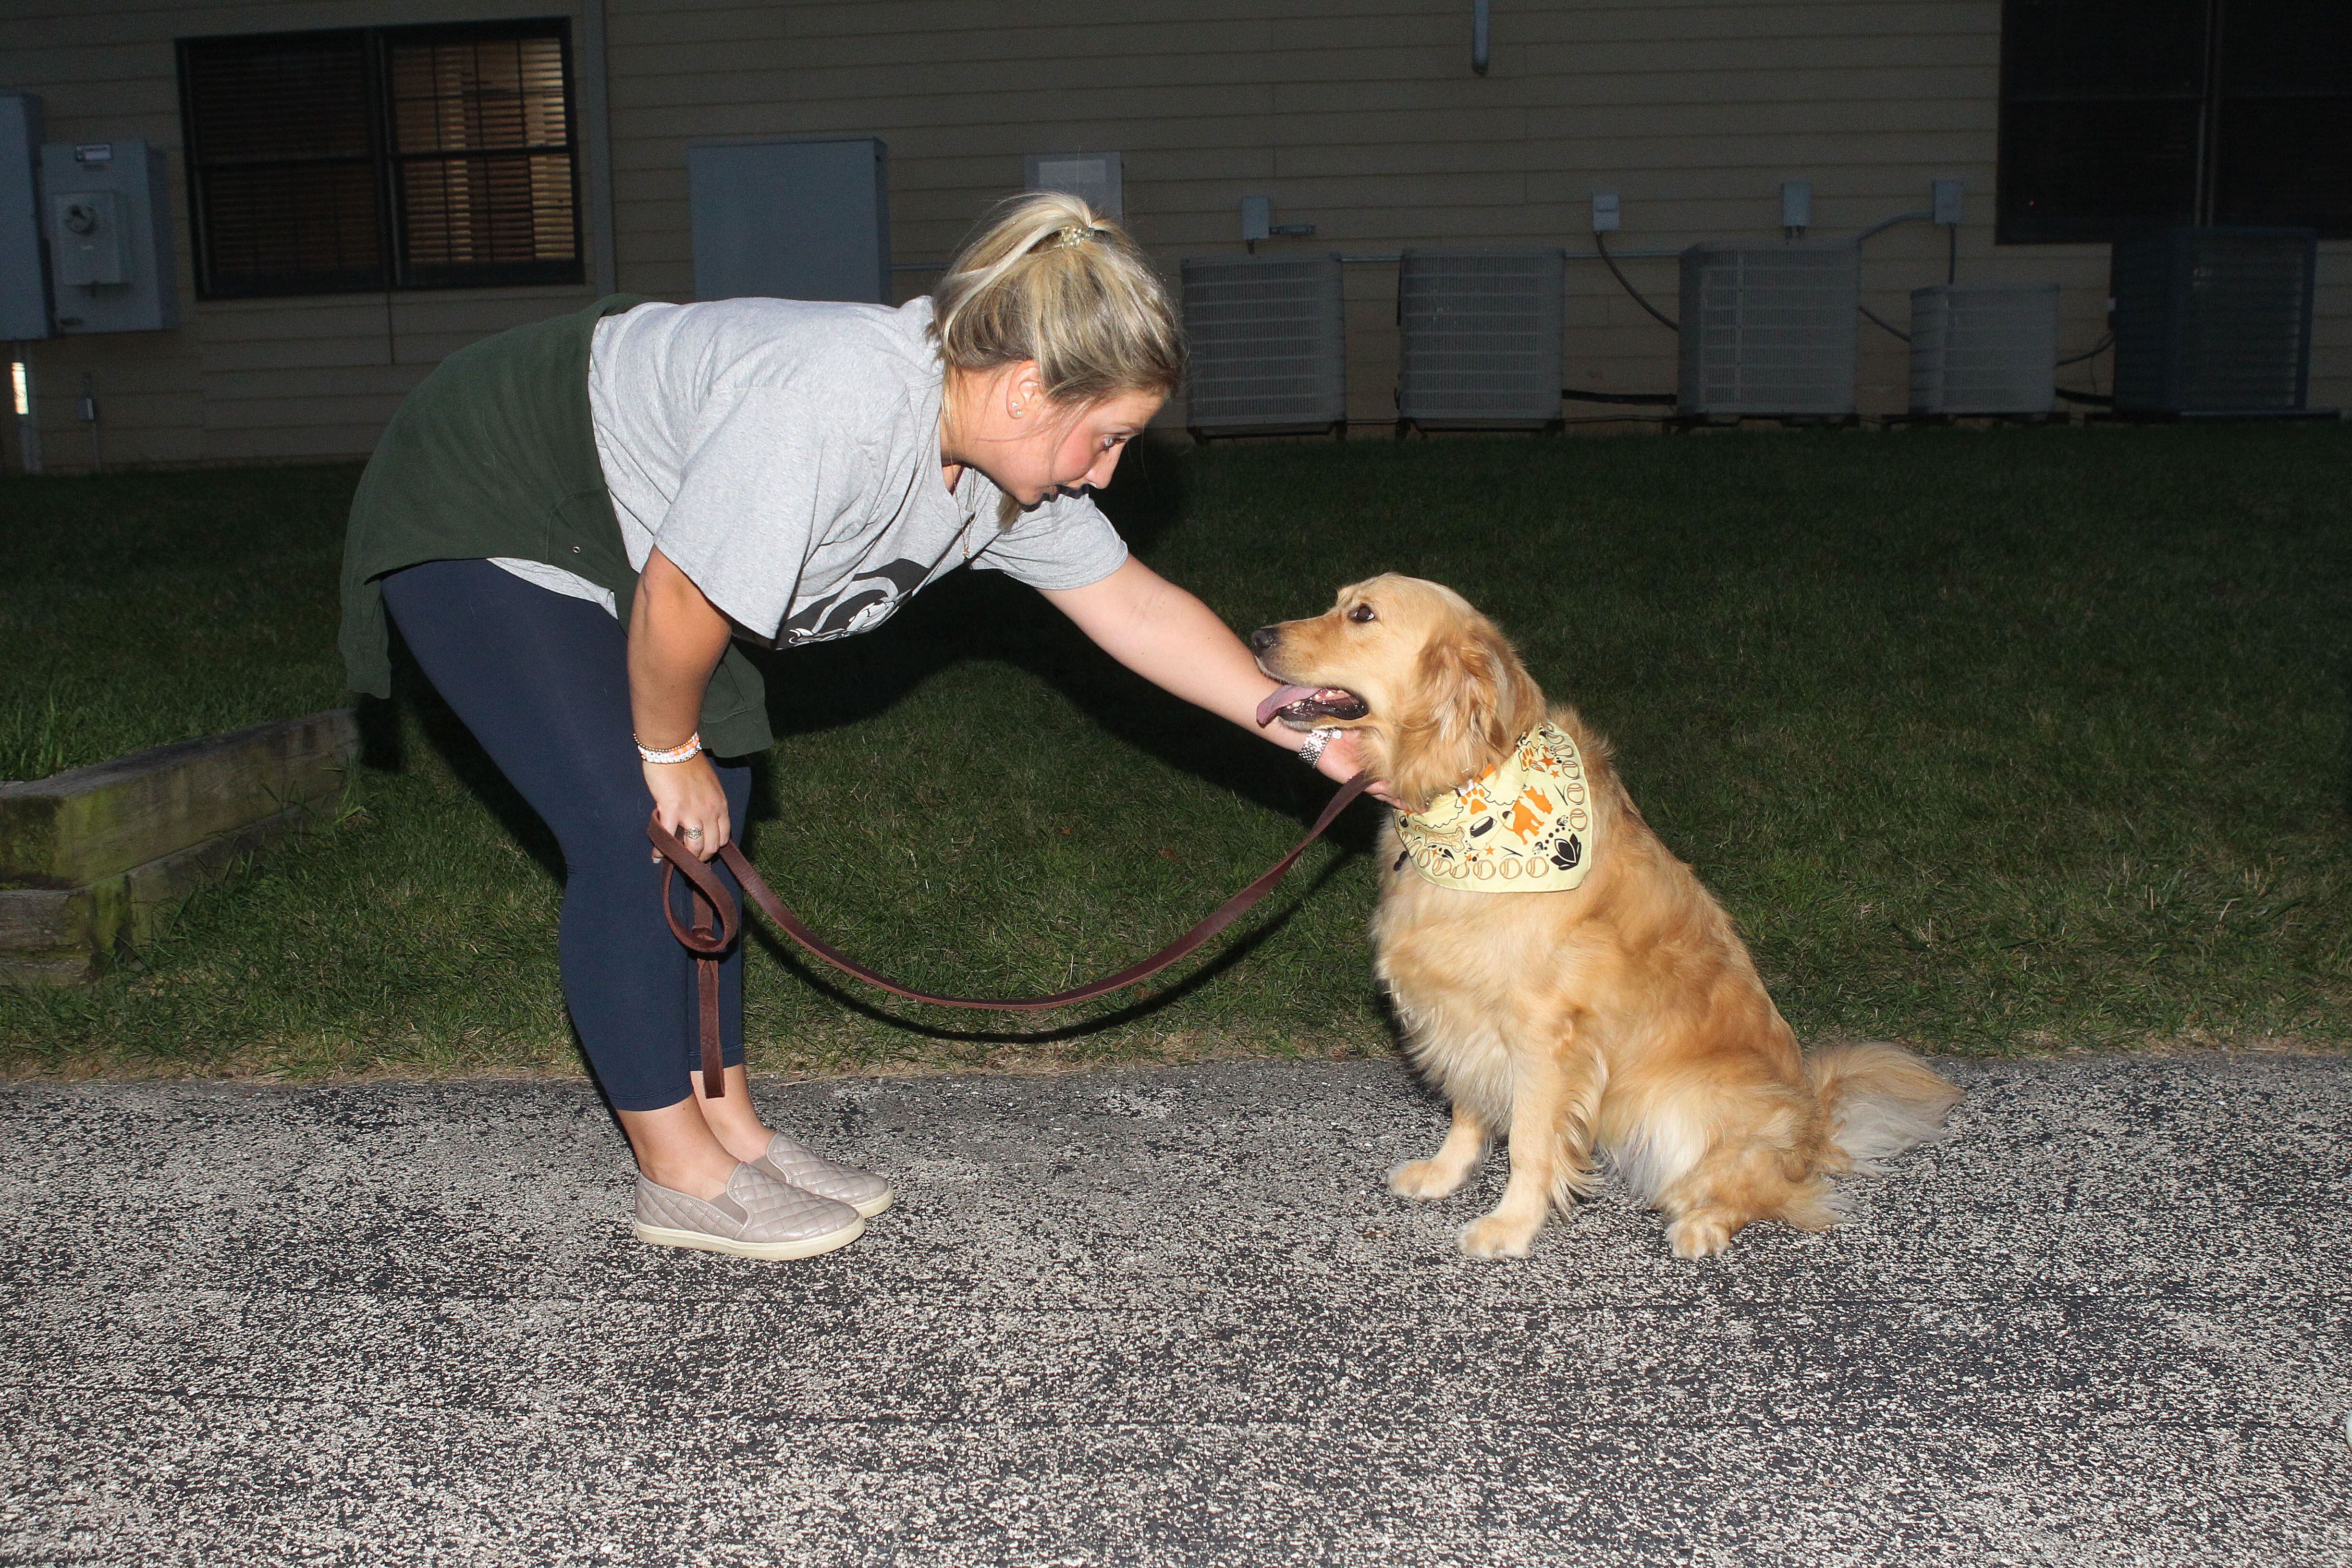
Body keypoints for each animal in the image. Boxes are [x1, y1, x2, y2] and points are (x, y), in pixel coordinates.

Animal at [1261, 580, 1957, 1260]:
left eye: (1363, 615)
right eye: (1339, 602)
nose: (1260, 634)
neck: (1466, 793)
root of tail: (1814, 1130)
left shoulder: (1543, 1034)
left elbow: (1530, 1143)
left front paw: (1512, 1226)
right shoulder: (1462, 1011)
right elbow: (1468, 1109)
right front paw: (1446, 1172)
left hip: (1681, 1105)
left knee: (1765, 1187)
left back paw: (1702, 1222)